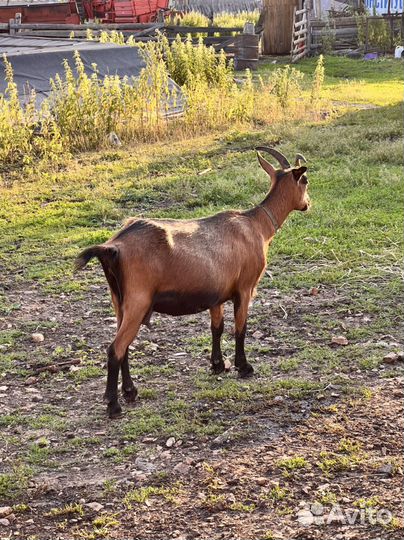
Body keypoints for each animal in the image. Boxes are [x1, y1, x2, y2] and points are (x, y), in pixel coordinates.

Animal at [75, 148, 310, 418]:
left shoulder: (216, 295)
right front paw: (244, 367)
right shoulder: (245, 288)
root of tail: (113, 247)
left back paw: (130, 392)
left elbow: (217, 328)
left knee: (123, 347)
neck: (256, 225)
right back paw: (114, 405)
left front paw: (217, 364)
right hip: (137, 300)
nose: (308, 204)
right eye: (305, 180)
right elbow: (240, 328)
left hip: (119, 302)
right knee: (116, 348)